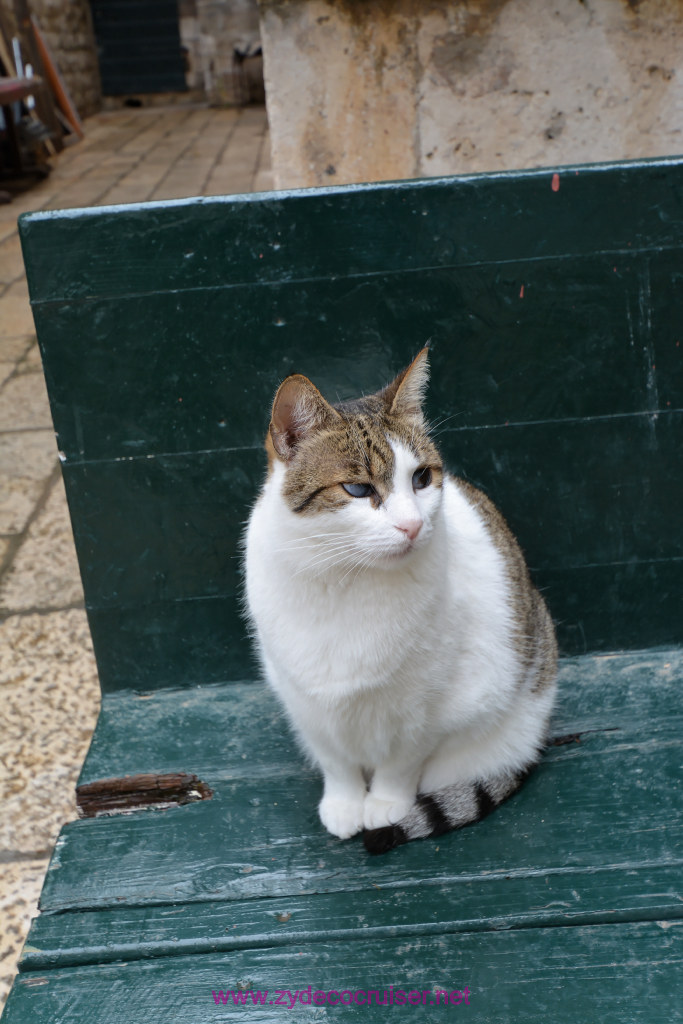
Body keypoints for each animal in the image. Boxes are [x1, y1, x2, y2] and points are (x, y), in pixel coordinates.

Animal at [244, 348, 557, 851]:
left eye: (422, 478)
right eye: (357, 489)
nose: (412, 525)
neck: (344, 579)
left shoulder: (429, 705)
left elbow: (401, 761)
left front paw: (386, 804)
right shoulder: (303, 699)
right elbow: (335, 758)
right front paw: (345, 801)